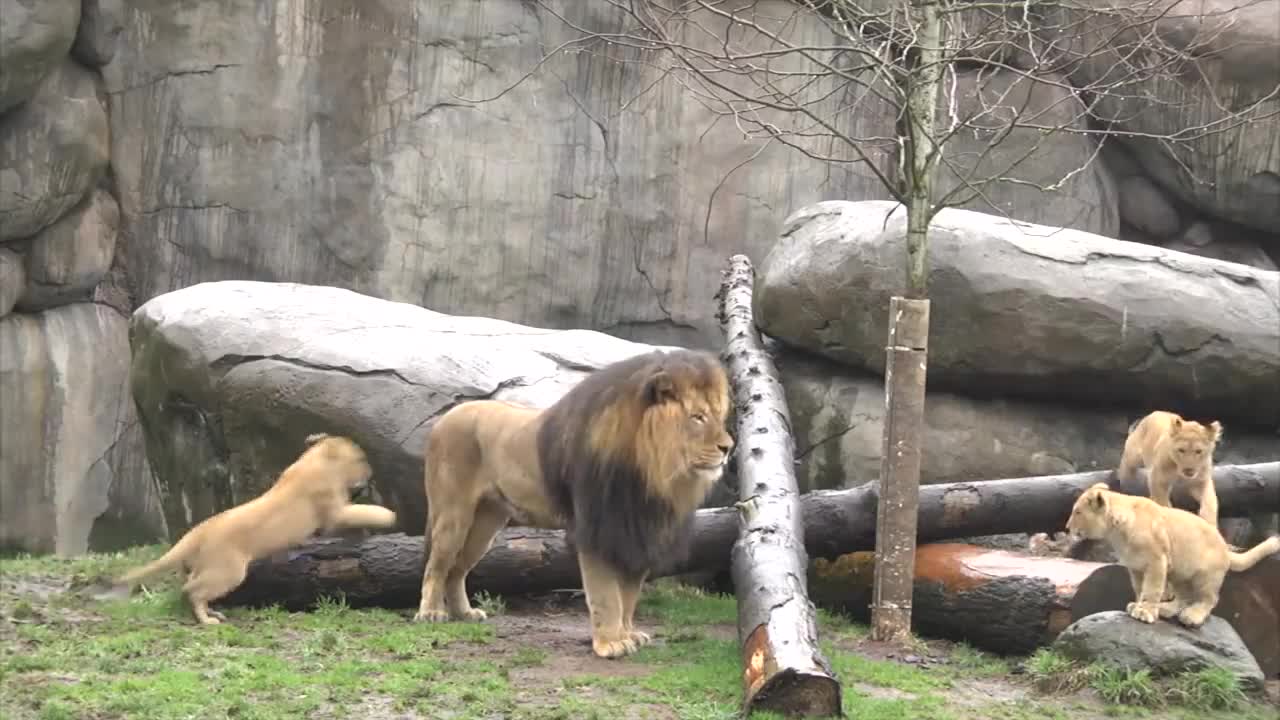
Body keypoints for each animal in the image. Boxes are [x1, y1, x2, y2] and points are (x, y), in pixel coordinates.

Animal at [113, 430, 396, 622]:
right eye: (361, 458)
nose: (371, 473)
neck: (316, 460)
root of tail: (198, 531)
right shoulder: (333, 511)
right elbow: (364, 511)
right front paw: (391, 515)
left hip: (208, 565)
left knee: (193, 584)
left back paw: (212, 612)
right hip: (228, 570)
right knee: (192, 590)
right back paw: (208, 620)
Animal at [414, 348, 737, 655]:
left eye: (719, 416)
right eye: (698, 417)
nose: (728, 448)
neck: (651, 469)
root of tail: (444, 418)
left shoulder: (638, 532)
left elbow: (629, 595)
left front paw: (628, 633)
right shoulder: (598, 529)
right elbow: (606, 594)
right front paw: (610, 644)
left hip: (486, 522)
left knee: (457, 569)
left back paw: (464, 614)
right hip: (453, 513)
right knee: (436, 566)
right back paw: (430, 613)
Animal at [1059, 481, 1280, 627]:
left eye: (1077, 512)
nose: (1067, 527)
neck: (1116, 532)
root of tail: (1225, 547)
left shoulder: (1157, 561)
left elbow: (1152, 589)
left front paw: (1145, 612)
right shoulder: (1135, 566)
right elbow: (1139, 588)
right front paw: (1138, 606)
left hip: (1204, 576)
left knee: (1208, 598)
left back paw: (1193, 616)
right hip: (1180, 573)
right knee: (1184, 596)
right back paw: (1167, 609)